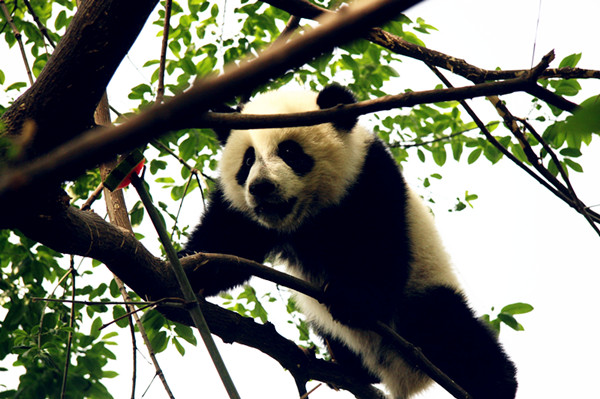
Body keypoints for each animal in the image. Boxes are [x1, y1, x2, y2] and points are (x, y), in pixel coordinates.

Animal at [183, 83, 516, 398]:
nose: (261, 187)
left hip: (421, 293)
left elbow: (379, 248)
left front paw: (351, 298)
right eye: (248, 159)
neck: (308, 217)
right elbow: (225, 245)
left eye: (289, 152)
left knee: (453, 330)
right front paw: (182, 278)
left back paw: (497, 384)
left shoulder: (367, 177)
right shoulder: (243, 214)